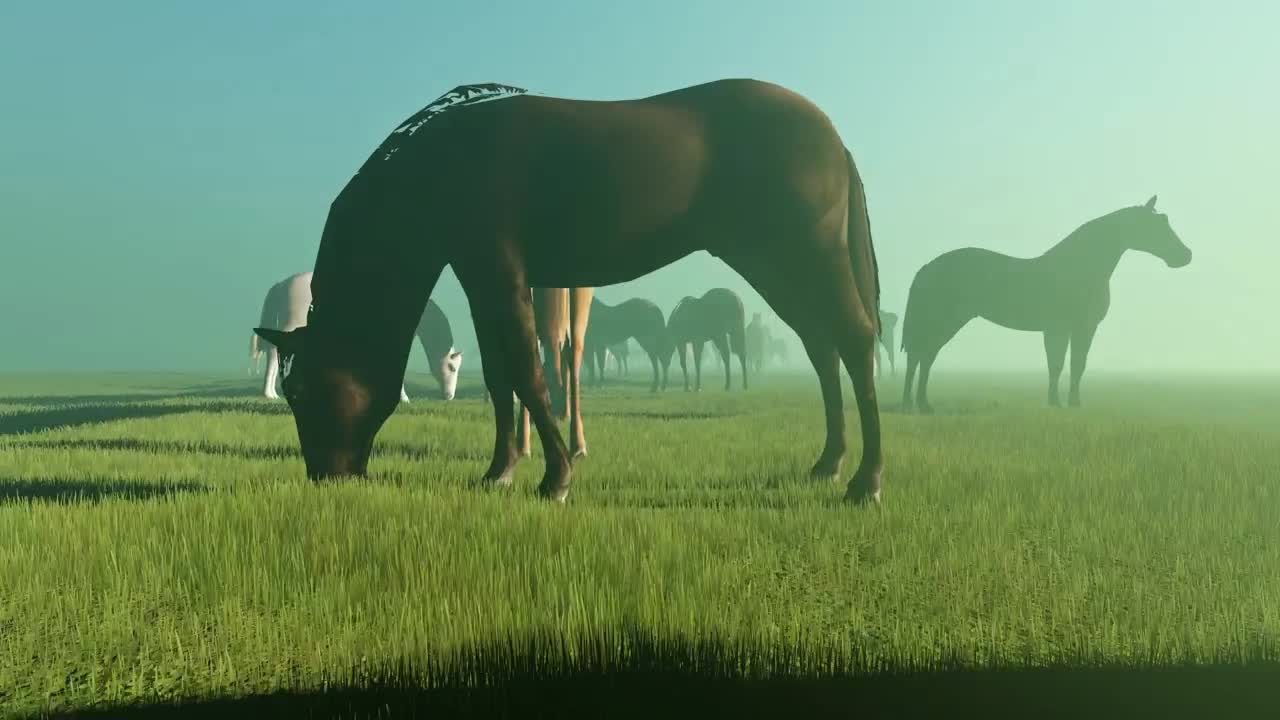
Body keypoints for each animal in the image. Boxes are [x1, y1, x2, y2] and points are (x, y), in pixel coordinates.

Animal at [900, 196, 1191, 413]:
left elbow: (1075, 364)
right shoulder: (1064, 328)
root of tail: (928, 267)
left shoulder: (1080, 329)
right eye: (1156, 225)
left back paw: (919, 404)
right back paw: (915, 404)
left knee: (923, 358)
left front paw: (1071, 403)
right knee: (921, 356)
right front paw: (1058, 402)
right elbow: (1059, 364)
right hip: (945, 321)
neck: (1081, 268)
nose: (1185, 255)